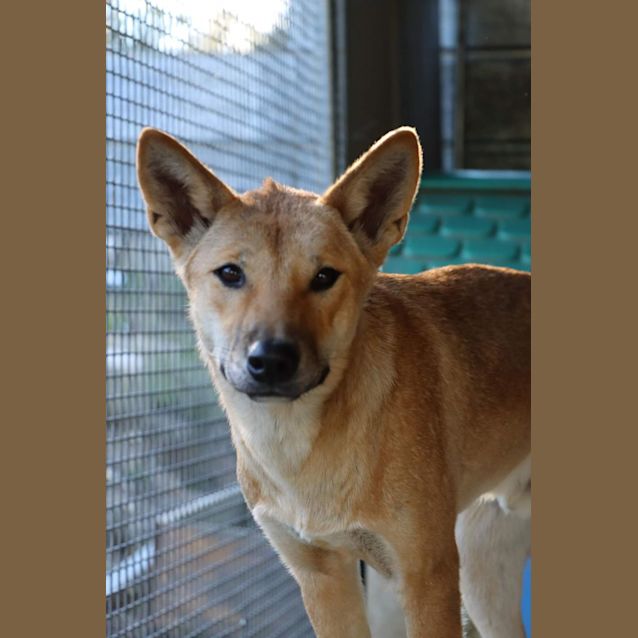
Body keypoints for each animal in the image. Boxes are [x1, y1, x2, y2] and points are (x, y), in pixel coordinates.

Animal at [138, 126, 532, 638]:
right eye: (230, 273)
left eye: (324, 276)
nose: (271, 360)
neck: (299, 449)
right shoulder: (323, 578)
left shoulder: (427, 578)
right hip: (484, 574)